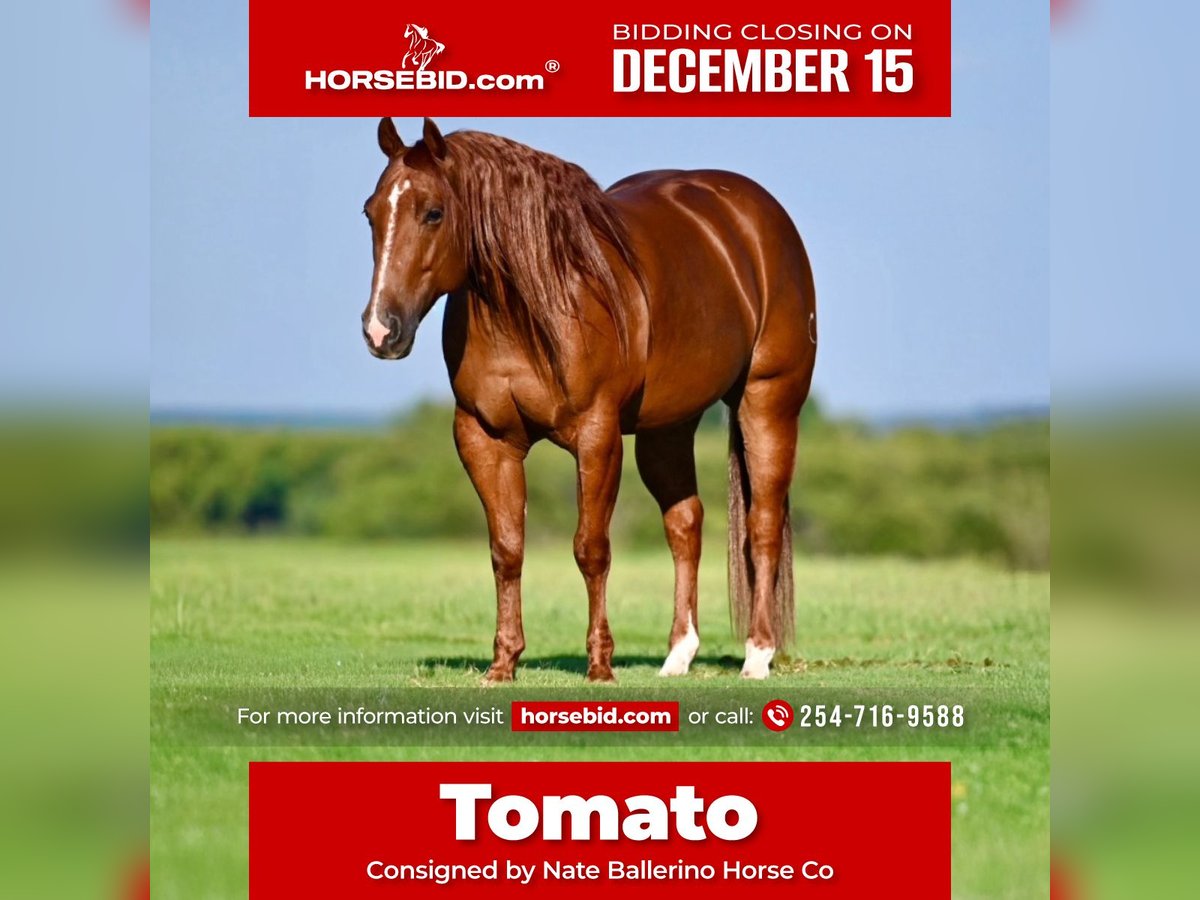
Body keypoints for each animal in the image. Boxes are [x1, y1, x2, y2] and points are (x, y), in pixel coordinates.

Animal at [360, 118, 817, 681]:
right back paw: (678, 654)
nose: (381, 330)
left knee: (763, 524)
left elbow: (591, 549)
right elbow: (506, 549)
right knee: (685, 524)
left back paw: (757, 655)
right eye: (371, 212)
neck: (535, 307)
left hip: (768, 401)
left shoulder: (598, 437)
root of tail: (756, 216)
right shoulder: (484, 439)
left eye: (433, 212)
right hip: (668, 426)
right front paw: (503, 663)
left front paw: (600, 663)